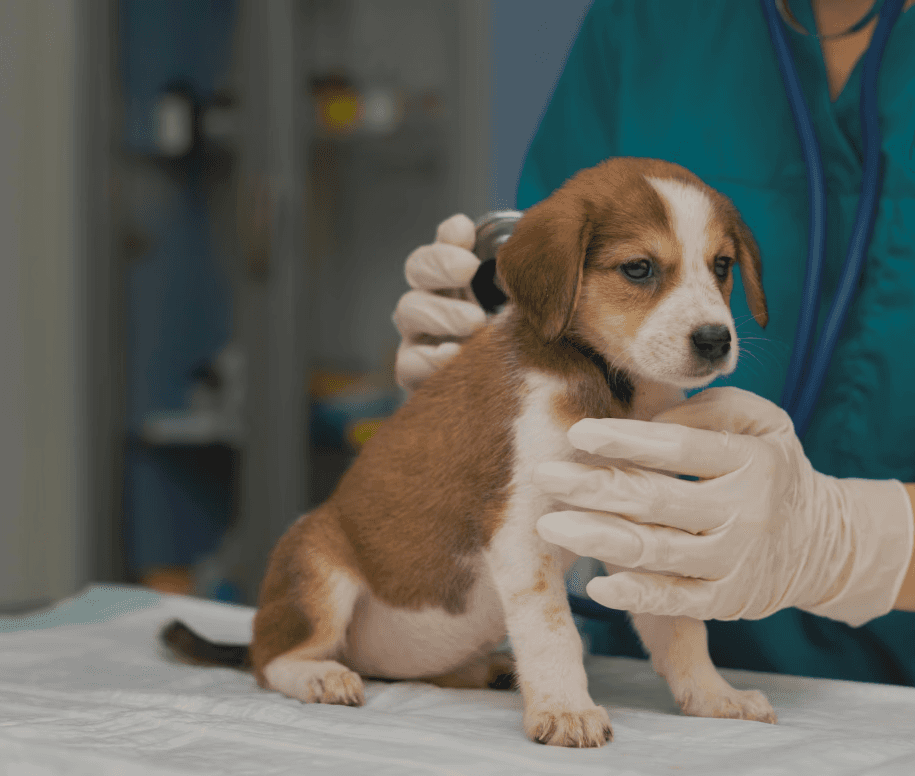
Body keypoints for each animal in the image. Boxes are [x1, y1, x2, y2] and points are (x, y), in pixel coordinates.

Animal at [163, 156, 772, 744]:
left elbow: (681, 629)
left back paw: (487, 670)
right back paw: (319, 675)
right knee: (270, 660)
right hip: (316, 564)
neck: (610, 384)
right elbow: (555, 632)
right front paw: (566, 708)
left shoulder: (640, 527)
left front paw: (714, 696)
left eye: (721, 266)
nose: (715, 340)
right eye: (639, 268)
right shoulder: (520, 532)